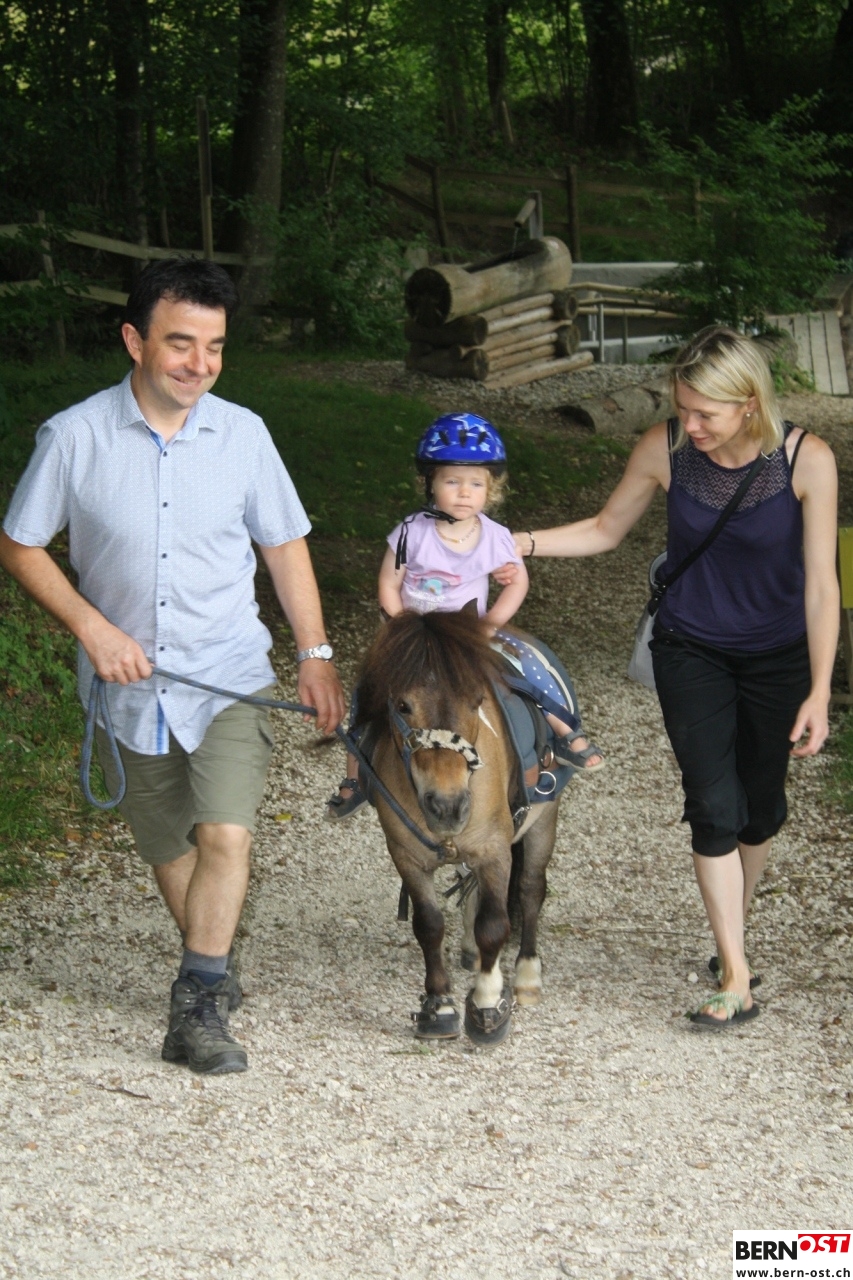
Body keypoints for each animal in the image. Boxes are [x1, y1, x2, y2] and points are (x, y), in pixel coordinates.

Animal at [353, 609, 563, 1047]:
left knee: (531, 890)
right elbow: (429, 925)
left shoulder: (494, 851)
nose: (448, 806)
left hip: (545, 819)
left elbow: (494, 925)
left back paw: (526, 975)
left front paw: (487, 1001)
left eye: (476, 700)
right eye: (403, 704)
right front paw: (440, 1006)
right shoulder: (406, 856)